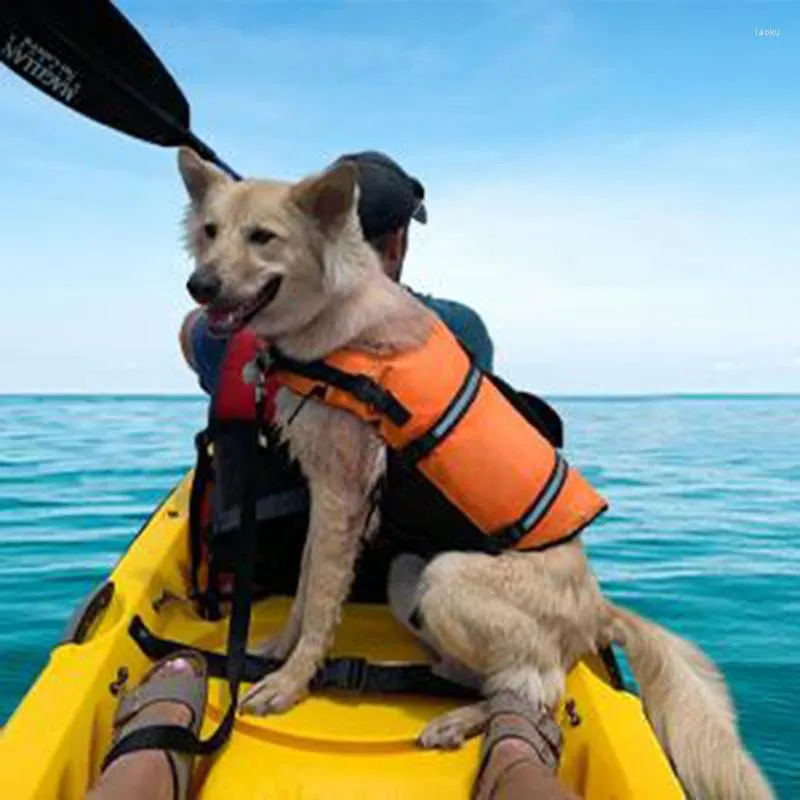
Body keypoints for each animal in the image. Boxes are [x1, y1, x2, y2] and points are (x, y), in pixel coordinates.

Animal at [177, 145, 776, 800]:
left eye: (263, 237)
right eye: (211, 232)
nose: (199, 286)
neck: (336, 319)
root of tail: (596, 609)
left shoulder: (343, 495)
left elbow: (319, 605)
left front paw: (291, 682)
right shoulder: (326, 495)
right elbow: (308, 590)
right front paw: (276, 655)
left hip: (448, 579)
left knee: (536, 692)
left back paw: (460, 718)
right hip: (410, 577)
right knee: (489, 675)